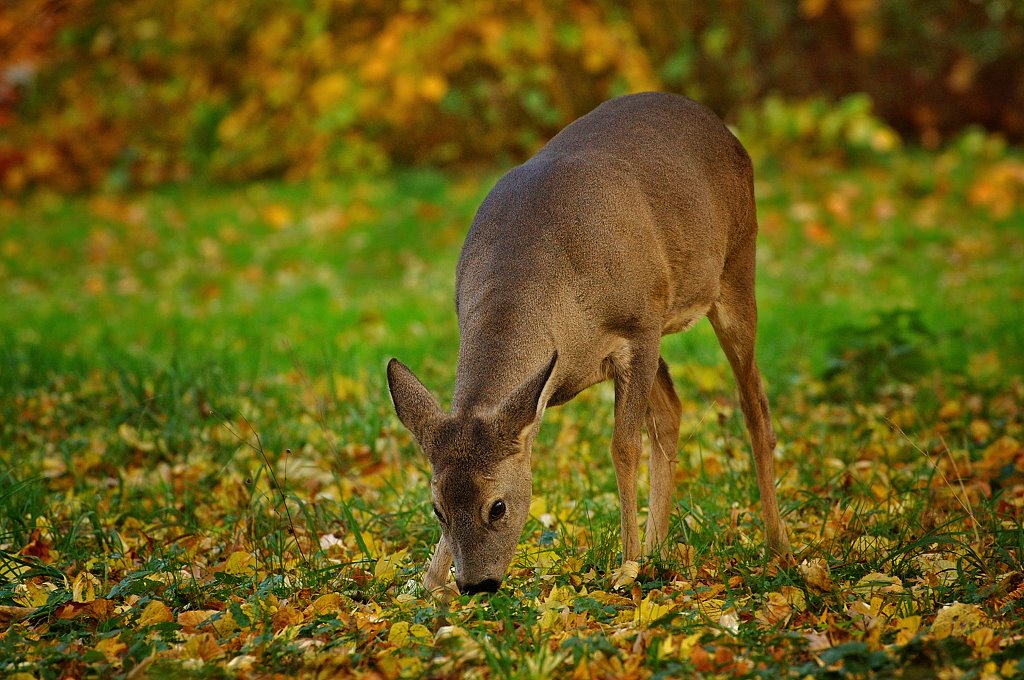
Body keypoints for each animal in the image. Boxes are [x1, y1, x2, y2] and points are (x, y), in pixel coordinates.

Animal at [385, 91, 790, 593]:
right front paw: (428, 583)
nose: (476, 584)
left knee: (753, 404)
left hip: (735, 267)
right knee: (673, 412)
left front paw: (626, 567)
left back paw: (778, 547)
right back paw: (658, 550)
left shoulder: (639, 326)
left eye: (497, 507)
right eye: (437, 509)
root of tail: (721, 126)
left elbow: (623, 445)